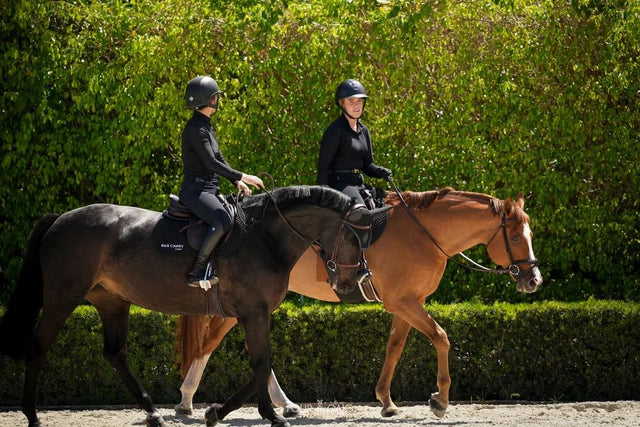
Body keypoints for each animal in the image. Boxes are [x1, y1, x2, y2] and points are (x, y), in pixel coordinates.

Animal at [0, 185, 390, 427]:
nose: (351, 282)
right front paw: (219, 412)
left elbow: (260, 363)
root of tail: (61, 218)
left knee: (115, 353)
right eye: (353, 238)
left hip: (112, 301)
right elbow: (262, 364)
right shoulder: (252, 312)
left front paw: (268, 413)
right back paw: (32, 414)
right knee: (39, 346)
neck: (265, 238)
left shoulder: (252, 314)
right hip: (62, 298)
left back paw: (152, 412)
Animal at [175, 187, 543, 419]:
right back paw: (186, 399)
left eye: (531, 235)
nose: (534, 281)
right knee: (210, 341)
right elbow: (441, 337)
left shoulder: (408, 302)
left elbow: (395, 346)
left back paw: (285, 404)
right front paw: (440, 400)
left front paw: (386, 400)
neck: (423, 233)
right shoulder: (405, 301)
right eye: (513, 236)